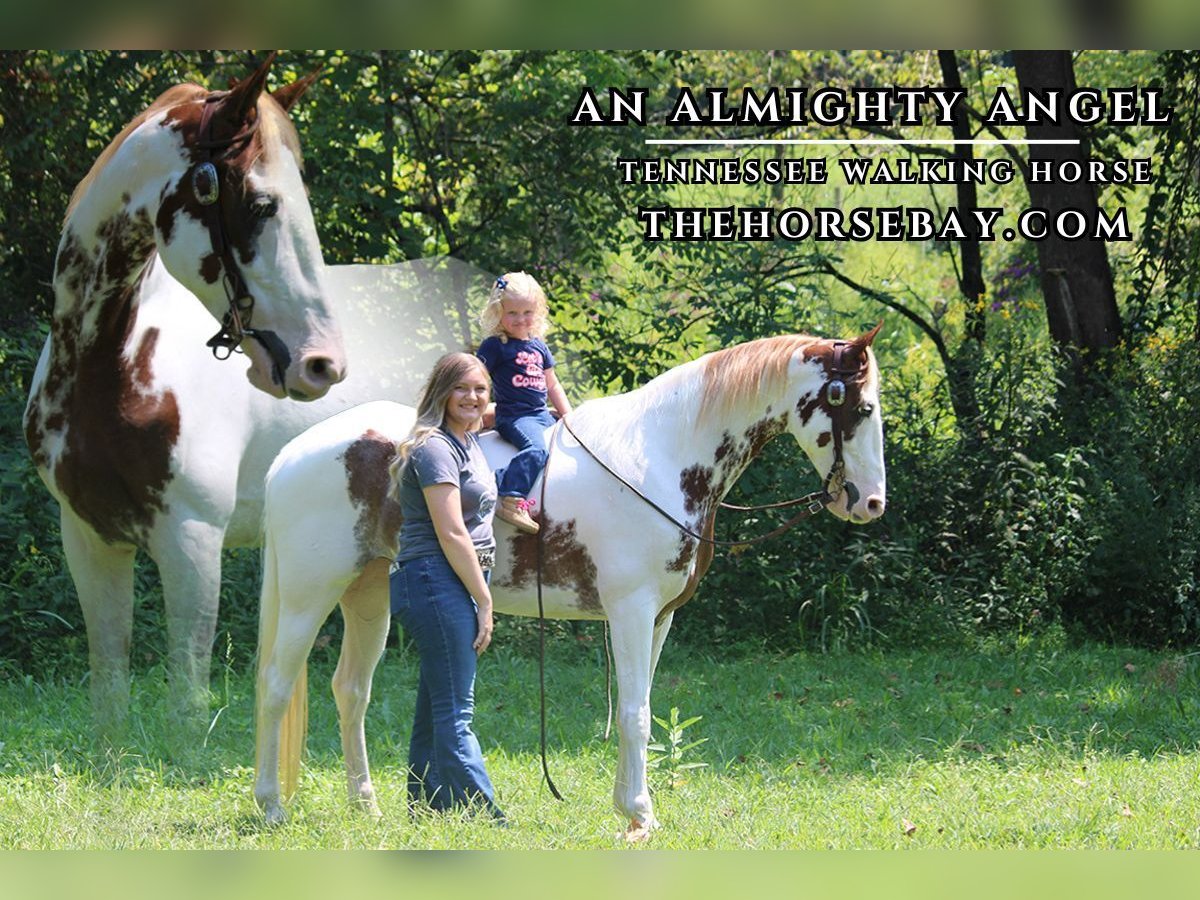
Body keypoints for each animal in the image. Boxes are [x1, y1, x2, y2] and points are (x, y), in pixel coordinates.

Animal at [21, 52, 360, 734]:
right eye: (260, 204)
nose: (322, 365)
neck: (113, 368)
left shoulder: (192, 543)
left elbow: (187, 706)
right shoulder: (89, 539)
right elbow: (109, 690)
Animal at [253, 328, 888, 840]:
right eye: (858, 407)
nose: (869, 503)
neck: (659, 455)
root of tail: (289, 456)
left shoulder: (661, 617)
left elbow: (641, 705)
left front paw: (629, 808)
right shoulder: (630, 611)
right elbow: (633, 712)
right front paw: (640, 815)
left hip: (370, 595)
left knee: (351, 691)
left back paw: (367, 807)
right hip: (311, 595)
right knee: (278, 686)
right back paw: (271, 806)